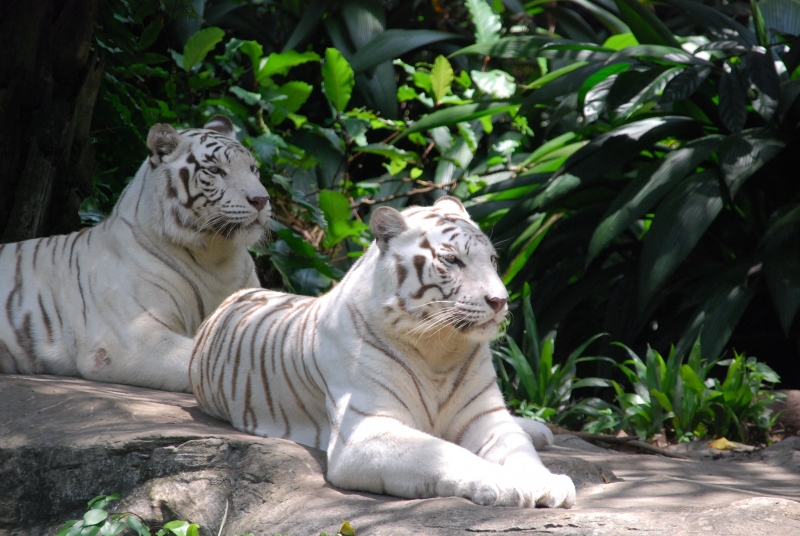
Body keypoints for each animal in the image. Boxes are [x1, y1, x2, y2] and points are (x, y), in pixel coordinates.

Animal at [191, 196, 580, 506]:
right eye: (453, 261)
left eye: (493, 260)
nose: (501, 301)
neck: (439, 349)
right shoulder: (365, 430)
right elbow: (447, 454)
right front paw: (506, 484)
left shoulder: (485, 416)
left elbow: (518, 449)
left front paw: (547, 482)